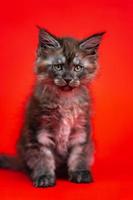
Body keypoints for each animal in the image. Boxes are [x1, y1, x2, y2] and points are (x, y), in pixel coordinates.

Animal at [0, 26, 105, 188]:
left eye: (77, 68)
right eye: (58, 67)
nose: (67, 79)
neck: (65, 100)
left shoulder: (81, 131)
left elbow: (79, 154)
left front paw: (80, 172)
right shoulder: (39, 132)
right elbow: (43, 157)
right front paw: (44, 176)